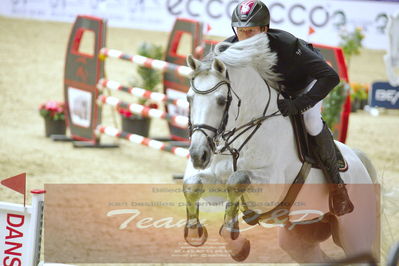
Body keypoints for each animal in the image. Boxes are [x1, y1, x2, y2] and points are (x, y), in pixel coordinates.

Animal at [183, 33, 380, 264]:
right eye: (189, 98)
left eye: (222, 101)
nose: (198, 155)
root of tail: (359, 160)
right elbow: (193, 185)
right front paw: (196, 232)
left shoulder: (270, 189)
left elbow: (237, 179)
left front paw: (234, 240)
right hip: (300, 235)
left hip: (354, 235)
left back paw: (341, 201)